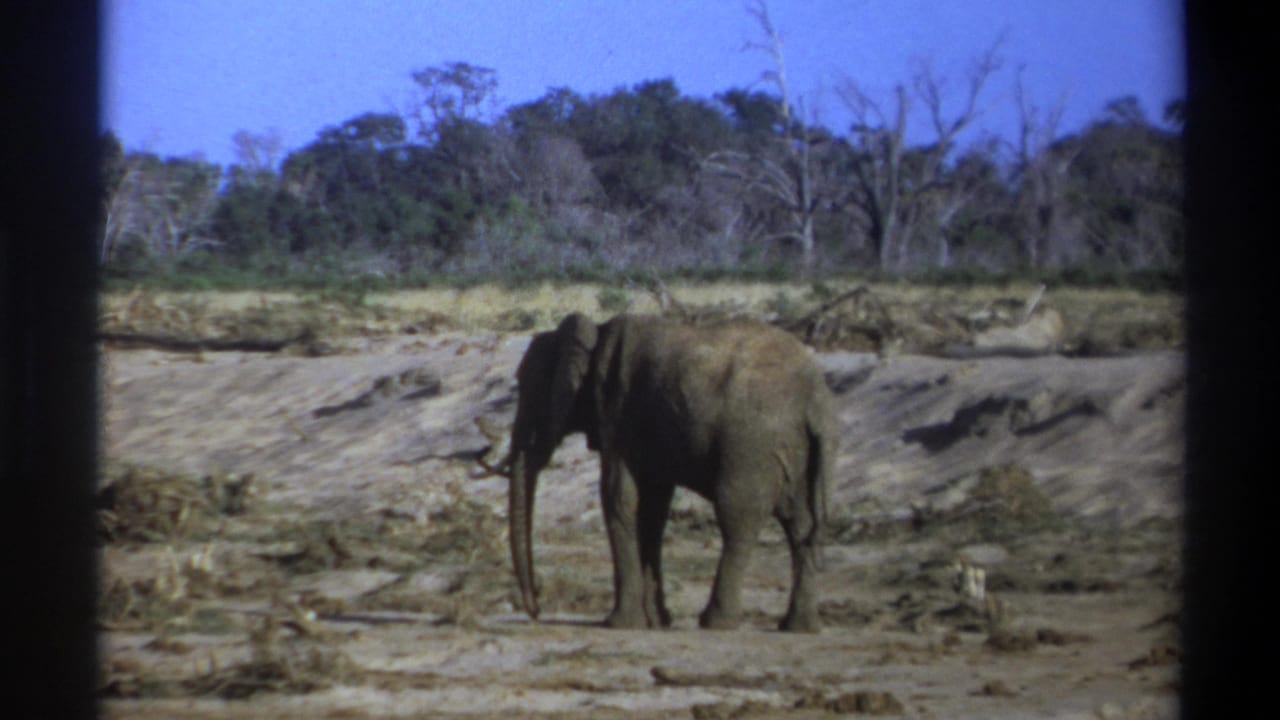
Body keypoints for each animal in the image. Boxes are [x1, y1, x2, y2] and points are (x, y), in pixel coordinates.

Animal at [504, 312, 837, 632]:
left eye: (529, 388)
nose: (536, 609)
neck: (595, 331)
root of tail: (816, 402)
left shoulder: (617, 413)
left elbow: (619, 499)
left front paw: (620, 624)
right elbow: (653, 508)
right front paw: (657, 621)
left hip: (752, 444)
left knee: (737, 519)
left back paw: (717, 622)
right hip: (793, 449)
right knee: (799, 523)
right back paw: (799, 627)